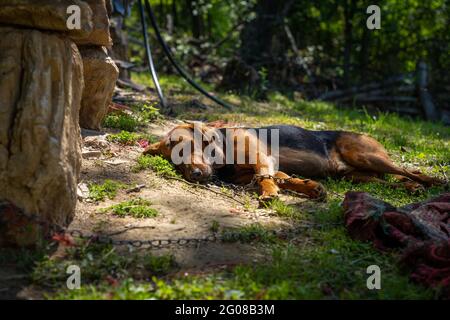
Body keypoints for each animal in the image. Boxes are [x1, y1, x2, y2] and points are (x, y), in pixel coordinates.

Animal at [143, 122, 442, 200]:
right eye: (176, 163)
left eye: (186, 148)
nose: (193, 175)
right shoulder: (269, 168)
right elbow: (283, 179)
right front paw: (310, 187)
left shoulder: (263, 159)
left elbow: (264, 177)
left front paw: (268, 193)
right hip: (355, 175)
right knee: (391, 182)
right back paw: (411, 188)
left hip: (365, 155)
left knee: (410, 171)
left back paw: (433, 181)